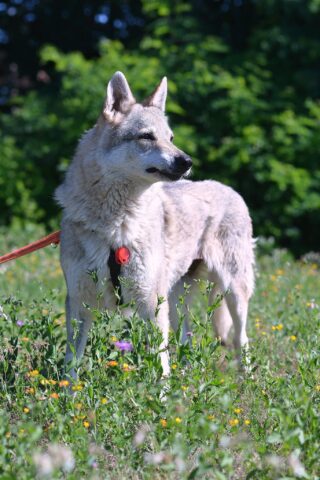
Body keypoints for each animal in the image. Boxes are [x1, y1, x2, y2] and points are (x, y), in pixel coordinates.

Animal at [55, 71, 255, 378]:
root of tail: (230, 190)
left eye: (170, 138)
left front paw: (161, 392)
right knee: (186, 337)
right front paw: (68, 391)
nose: (187, 161)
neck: (116, 224)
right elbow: (71, 363)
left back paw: (248, 380)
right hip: (176, 299)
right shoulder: (78, 301)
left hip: (232, 292)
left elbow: (160, 365)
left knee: (241, 339)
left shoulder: (150, 302)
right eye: (147, 136)